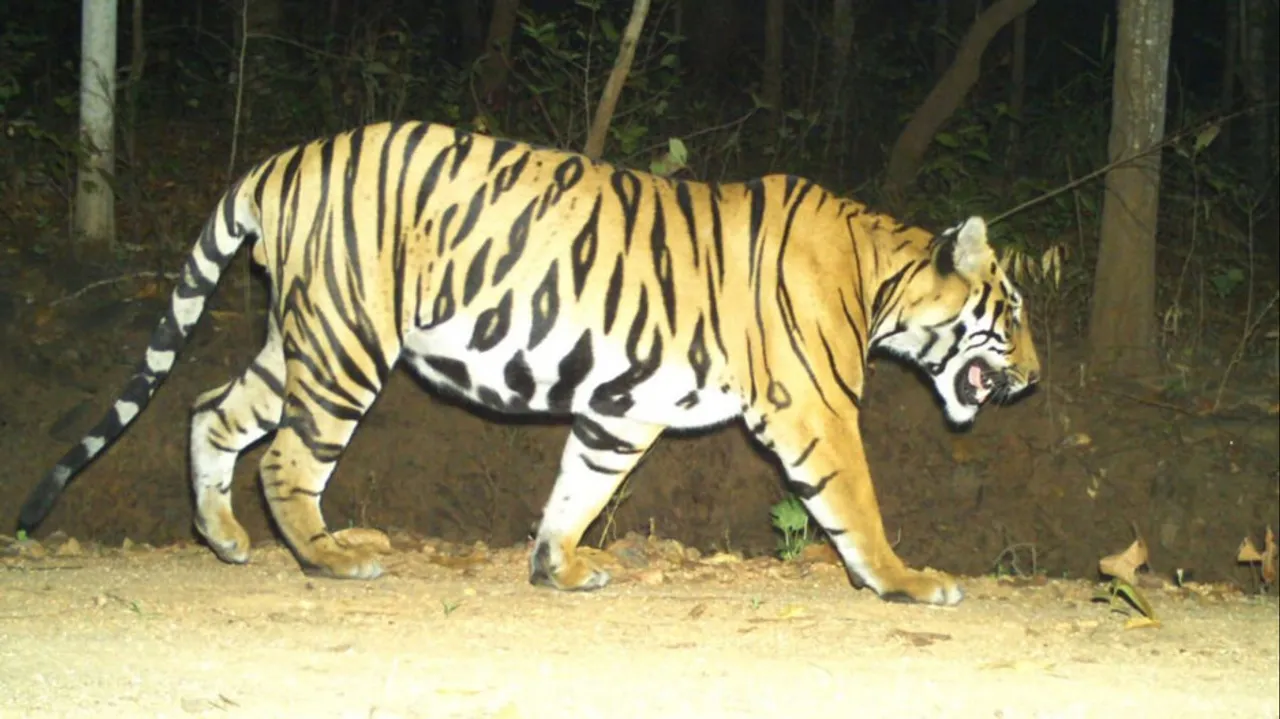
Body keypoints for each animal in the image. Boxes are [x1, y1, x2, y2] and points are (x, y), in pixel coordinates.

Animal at [18, 121, 1040, 605]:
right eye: (1016, 313)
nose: (1036, 377)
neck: (881, 276)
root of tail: (284, 160)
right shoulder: (815, 407)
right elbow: (857, 506)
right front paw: (908, 581)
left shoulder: (622, 410)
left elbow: (579, 488)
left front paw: (558, 567)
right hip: (348, 343)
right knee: (286, 457)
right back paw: (331, 557)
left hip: (302, 336)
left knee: (209, 408)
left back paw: (224, 537)